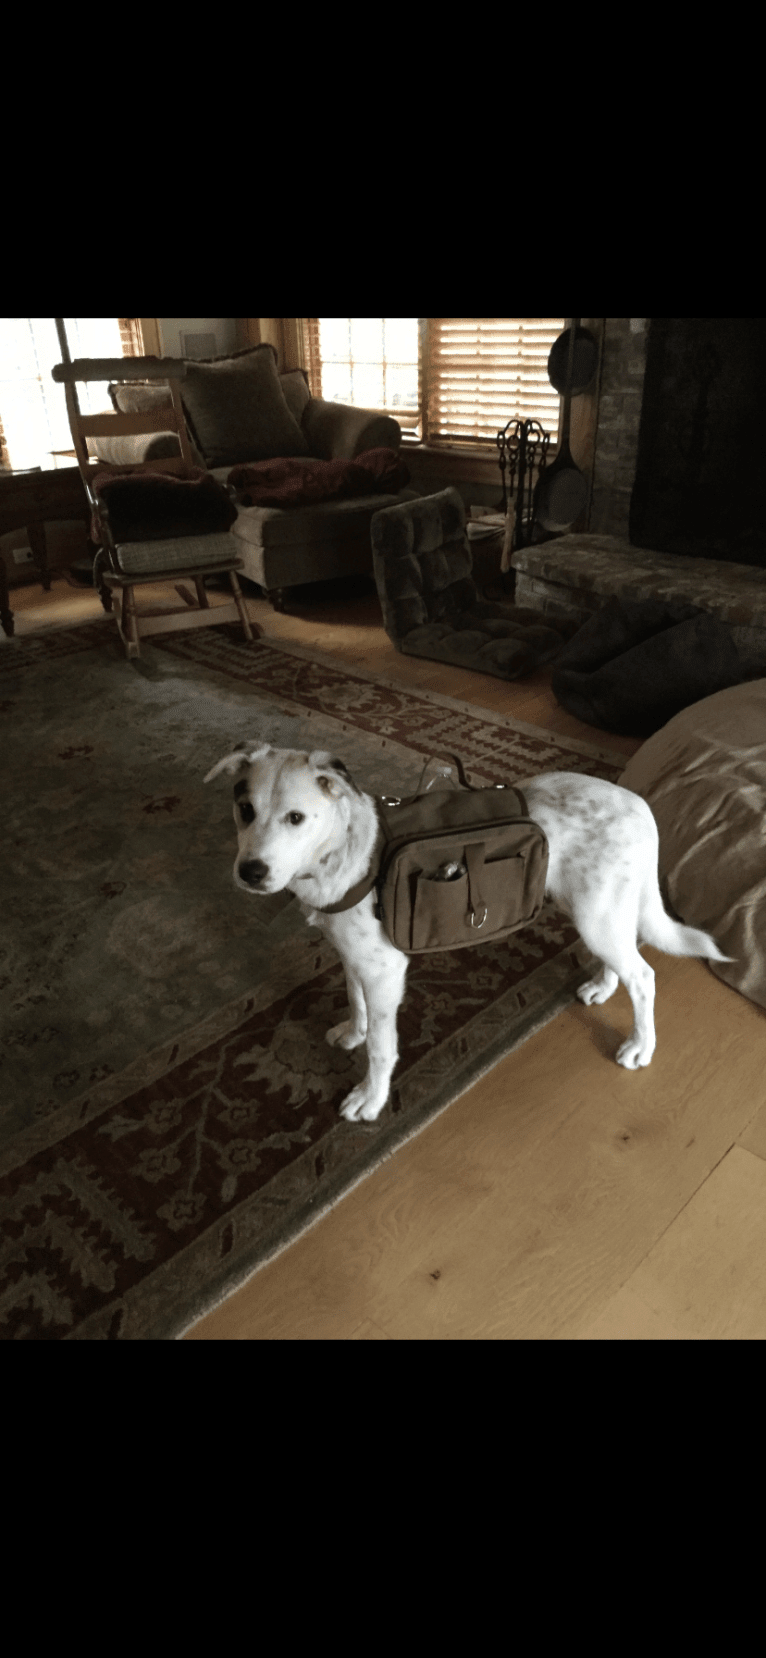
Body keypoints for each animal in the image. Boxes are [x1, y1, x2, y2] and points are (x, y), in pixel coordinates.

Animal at [204, 749, 729, 1127]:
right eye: (244, 810)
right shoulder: (353, 957)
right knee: (626, 958)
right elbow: (355, 1002)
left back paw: (641, 1046)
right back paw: (603, 986)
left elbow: (382, 1047)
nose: (251, 873)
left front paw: (370, 1099)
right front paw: (352, 1033)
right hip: (596, 911)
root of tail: (642, 808)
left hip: (597, 915)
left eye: (295, 818)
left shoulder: (384, 970)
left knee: (644, 976)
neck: (341, 853)